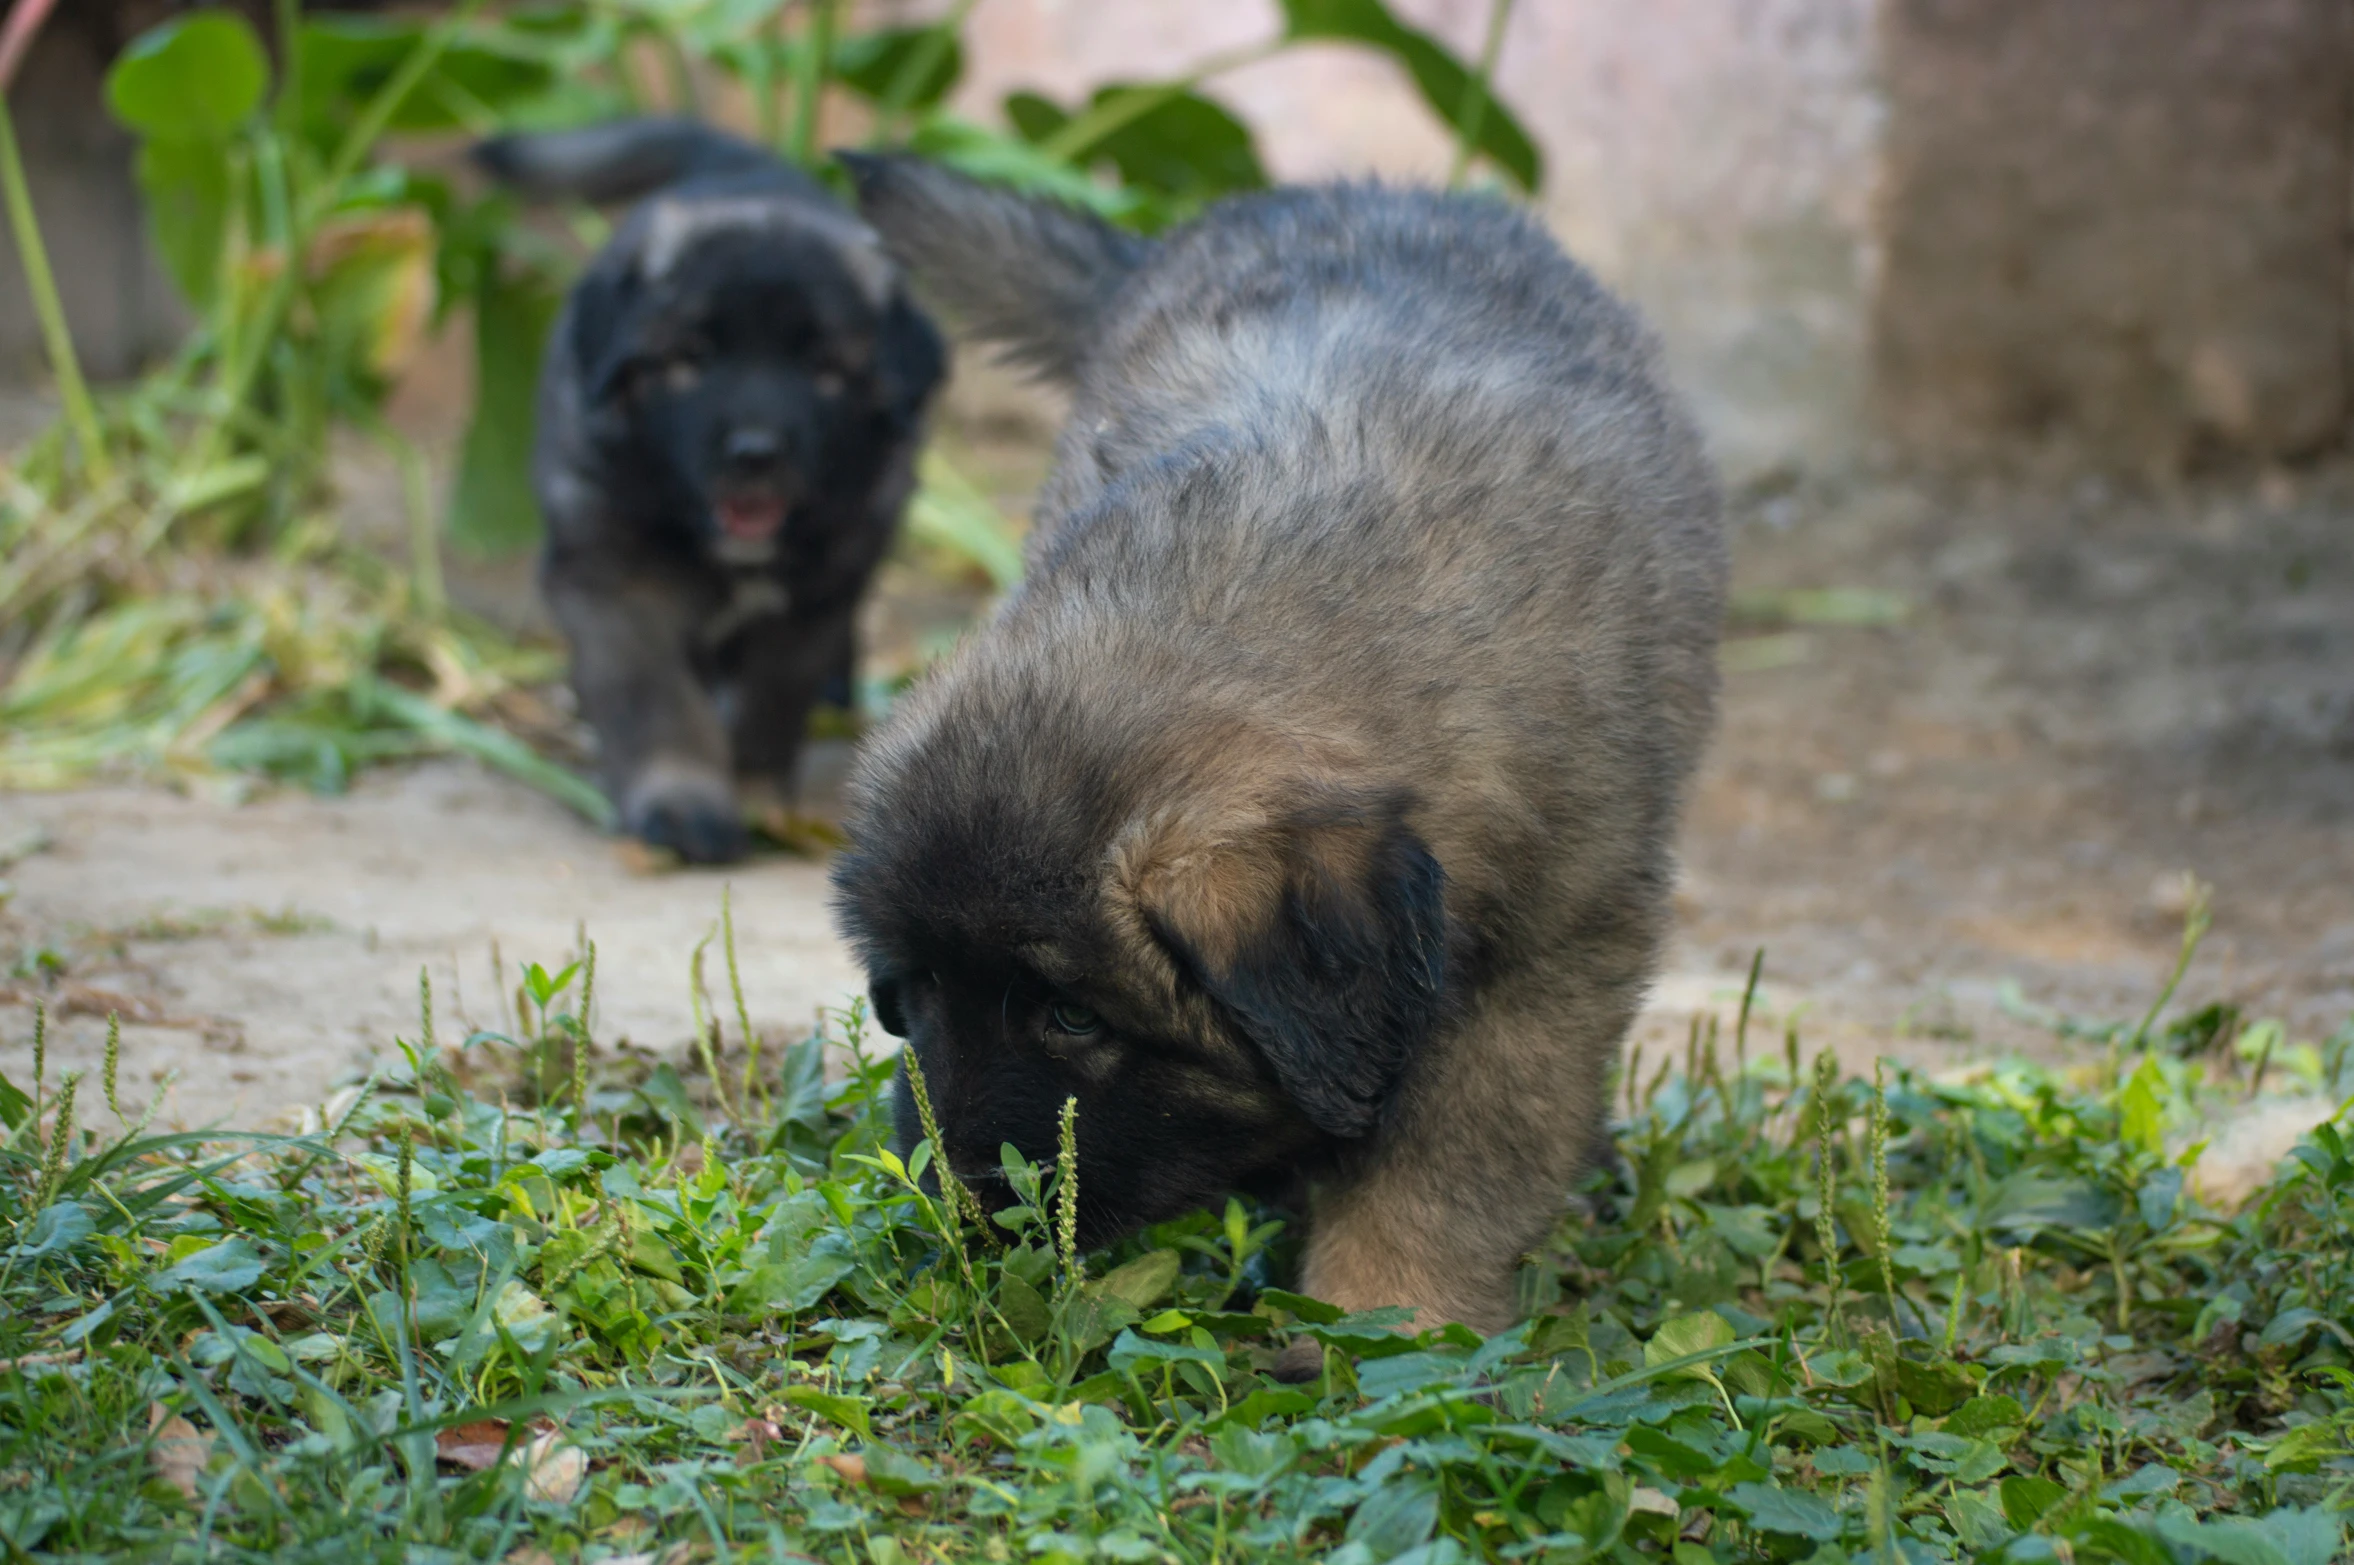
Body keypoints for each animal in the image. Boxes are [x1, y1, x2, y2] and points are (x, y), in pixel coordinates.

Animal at [473, 117, 941, 861]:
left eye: (823, 368)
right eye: (692, 357)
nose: (755, 452)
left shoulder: (812, 599)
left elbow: (770, 704)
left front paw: (755, 794)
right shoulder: (616, 583)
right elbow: (656, 699)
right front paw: (682, 800)